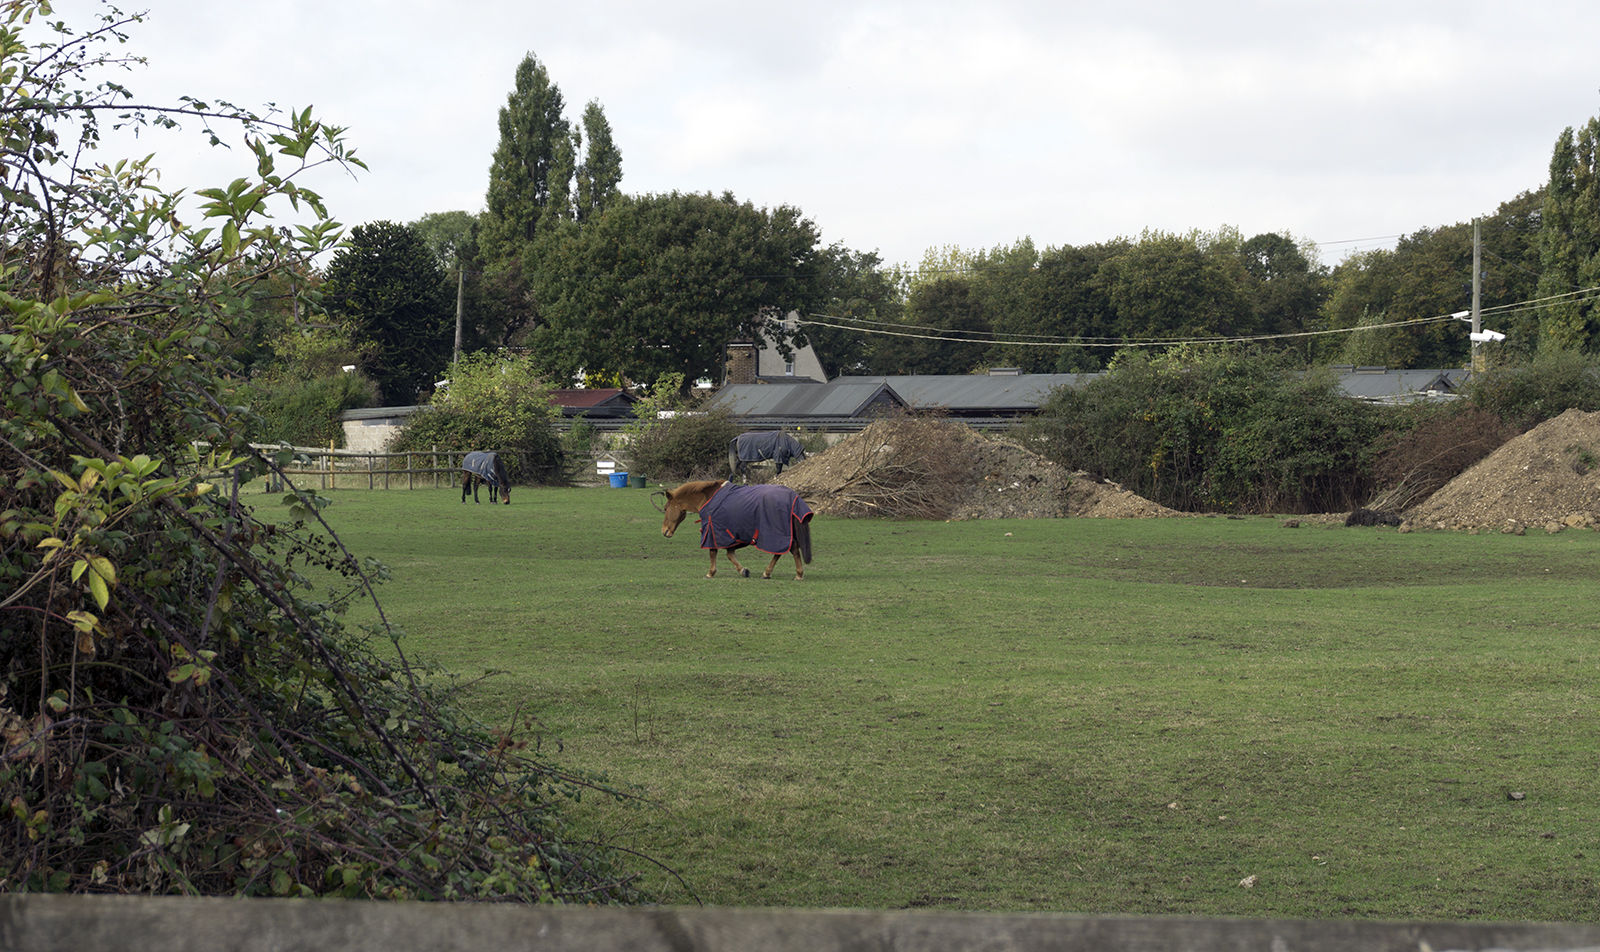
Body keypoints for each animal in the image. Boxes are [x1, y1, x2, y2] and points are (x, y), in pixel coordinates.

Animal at [659, 476, 819, 582]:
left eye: (665, 508)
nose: (664, 531)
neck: (708, 498)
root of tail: (793, 497)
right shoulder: (734, 535)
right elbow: (730, 554)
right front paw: (743, 570)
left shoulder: (713, 531)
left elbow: (713, 552)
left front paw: (711, 573)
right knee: (783, 550)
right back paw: (768, 573)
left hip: (777, 533)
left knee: (790, 549)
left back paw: (796, 574)